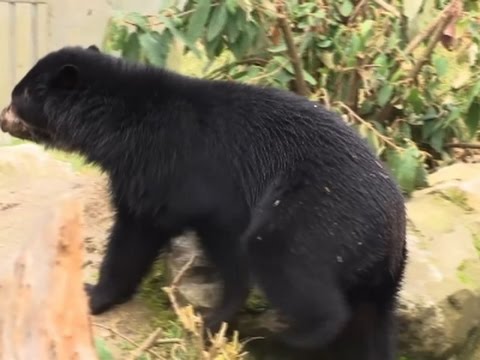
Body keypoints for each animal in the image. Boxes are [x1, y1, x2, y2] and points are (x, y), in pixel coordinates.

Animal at [0, 45, 404, 360]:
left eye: (21, 95)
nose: (3, 118)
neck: (119, 124)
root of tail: (393, 227)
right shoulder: (147, 175)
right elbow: (140, 235)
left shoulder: (181, 170)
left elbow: (191, 233)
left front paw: (212, 320)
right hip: (377, 279)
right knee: (374, 321)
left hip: (318, 214)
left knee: (288, 263)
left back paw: (285, 337)